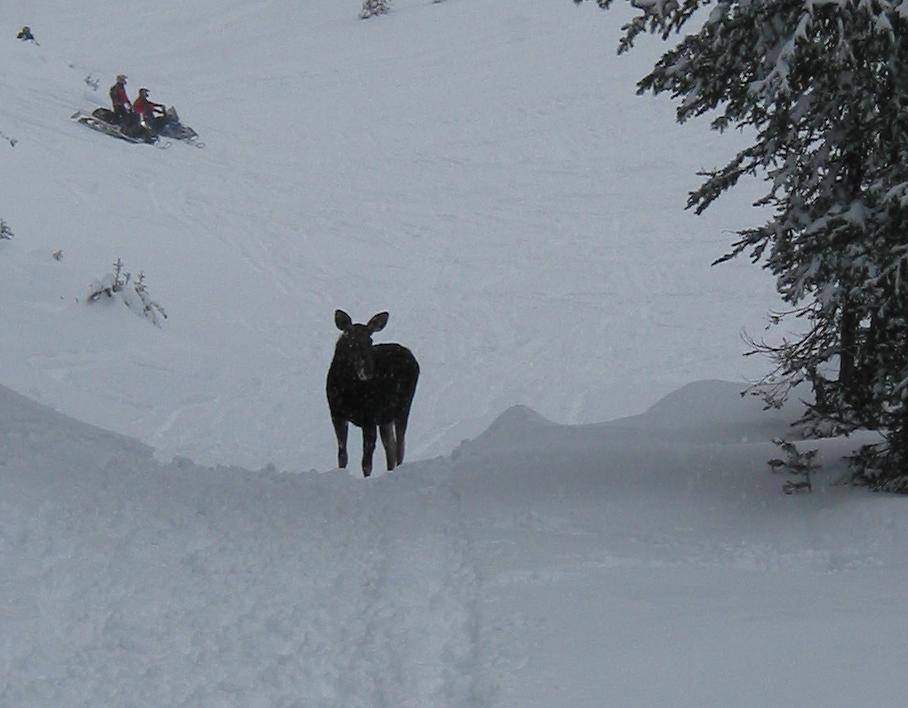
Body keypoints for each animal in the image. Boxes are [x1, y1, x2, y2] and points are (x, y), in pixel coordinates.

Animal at [328, 308, 420, 476]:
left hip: (403, 407)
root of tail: (410, 354)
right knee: (390, 446)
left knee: (400, 445)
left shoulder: (369, 418)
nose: (368, 371)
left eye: (370, 341)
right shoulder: (336, 414)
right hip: (385, 417)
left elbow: (366, 462)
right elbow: (342, 455)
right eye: (351, 342)